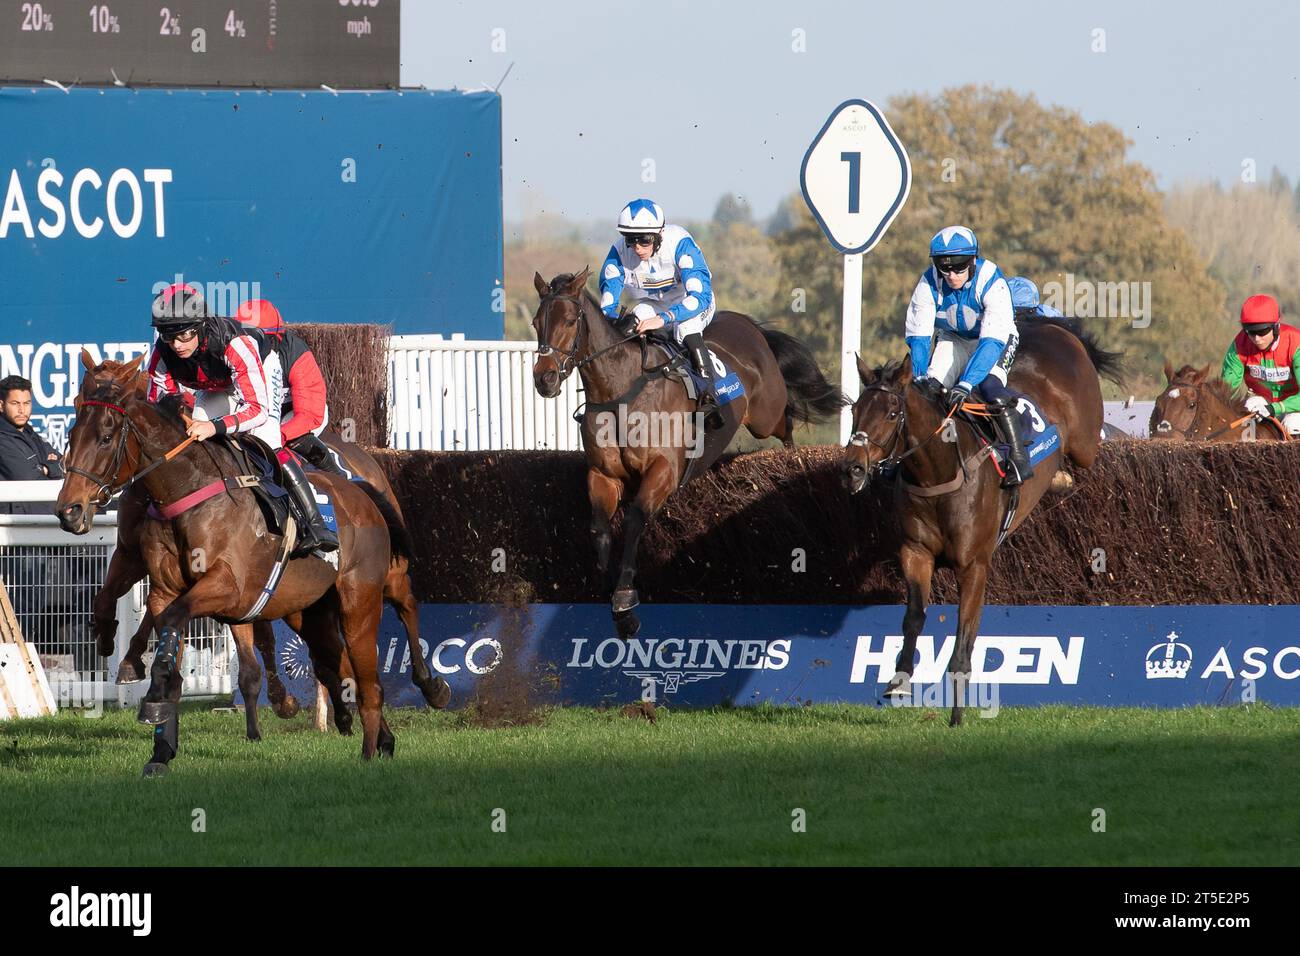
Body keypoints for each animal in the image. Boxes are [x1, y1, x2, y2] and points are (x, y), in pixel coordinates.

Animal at [57, 356, 405, 775]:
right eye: (73, 432)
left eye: (107, 438)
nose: (69, 510)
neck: (186, 491)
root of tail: (362, 490)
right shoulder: (159, 584)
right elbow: (164, 644)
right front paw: (160, 749)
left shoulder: (226, 587)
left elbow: (175, 623)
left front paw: (150, 694)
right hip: (310, 611)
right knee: (344, 669)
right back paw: (379, 737)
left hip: (359, 604)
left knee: (369, 680)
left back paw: (370, 749)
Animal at [92, 421, 452, 743]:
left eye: (108, 439)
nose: (80, 508)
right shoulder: (145, 559)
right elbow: (122, 600)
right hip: (305, 603)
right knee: (331, 651)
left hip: (381, 573)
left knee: (405, 604)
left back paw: (430, 686)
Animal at [527, 267, 842, 634]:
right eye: (536, 322)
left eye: (569, 320)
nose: (545, 379)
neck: (619, 392)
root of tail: (750, 326)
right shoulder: (602, 475)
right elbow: (599, 530)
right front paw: (606, 591)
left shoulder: (664, 470)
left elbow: (634, 520)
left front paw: (625, 601)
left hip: (766, 416)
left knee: (787, 422)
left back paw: (794, 460)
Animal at [837, 319, 1123, 723]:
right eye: (856, 410)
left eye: (892, 413)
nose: (853, 469)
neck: (938, 475)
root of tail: (1054, 328)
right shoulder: (916, 553)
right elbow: (914, 617)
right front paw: (899, 681)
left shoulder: (974, 565)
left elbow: (964, 635)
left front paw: (957, 715)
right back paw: (1058, 479)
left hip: (1084, 441)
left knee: (1086, 444)